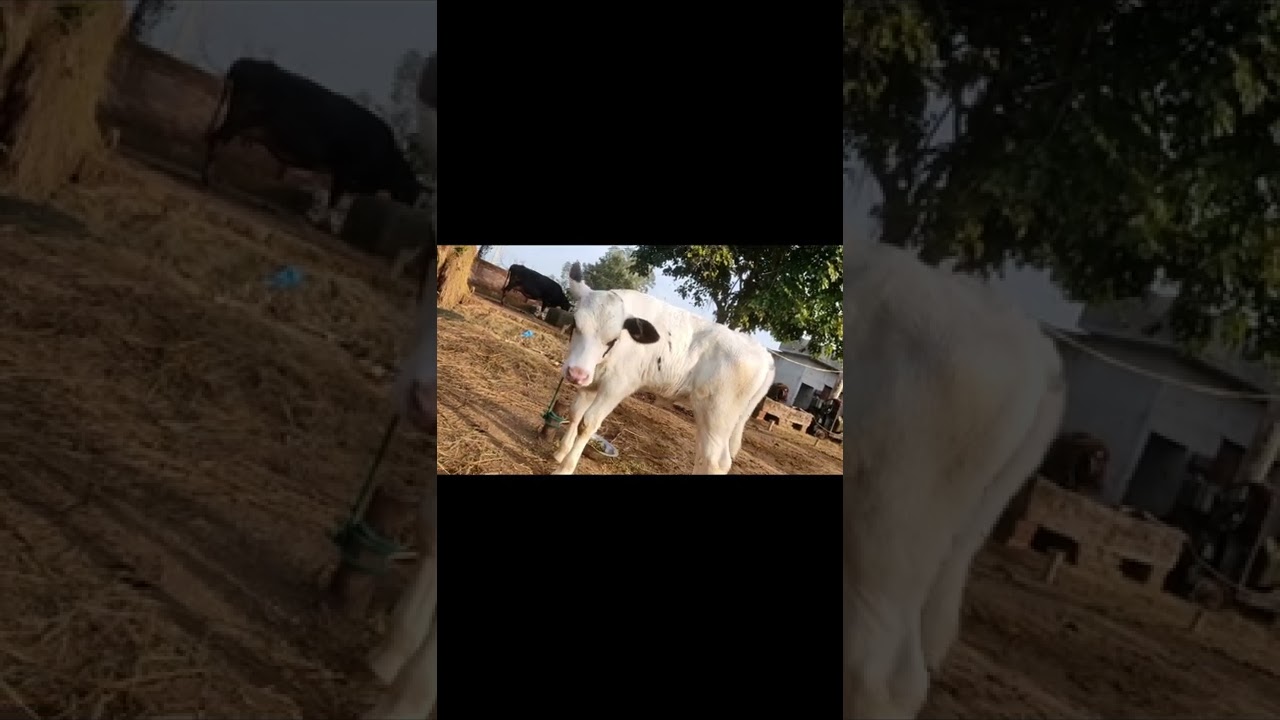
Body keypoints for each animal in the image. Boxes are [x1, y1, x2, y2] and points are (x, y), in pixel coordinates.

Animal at [203, 57, 424, 231]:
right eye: (411, 193)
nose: (409, 212)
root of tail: (246, 62)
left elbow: (338, 200)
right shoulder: (345, 173)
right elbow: (334, 199)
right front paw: (323, 223)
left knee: (214, 138)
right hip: (238, 119)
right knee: (215, 139)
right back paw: (209, 179)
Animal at [553, 262, 775, 475]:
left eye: (612, 339)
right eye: (575, 323)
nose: (576, 374)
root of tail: (762, 352)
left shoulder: (617, 386)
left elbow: (588, 423)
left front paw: (565, 468)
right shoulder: (591, 382)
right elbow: (575, 413)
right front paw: (561, 452)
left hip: (719, 414)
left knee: (717, 461)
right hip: (706, 413)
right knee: (703, 452)